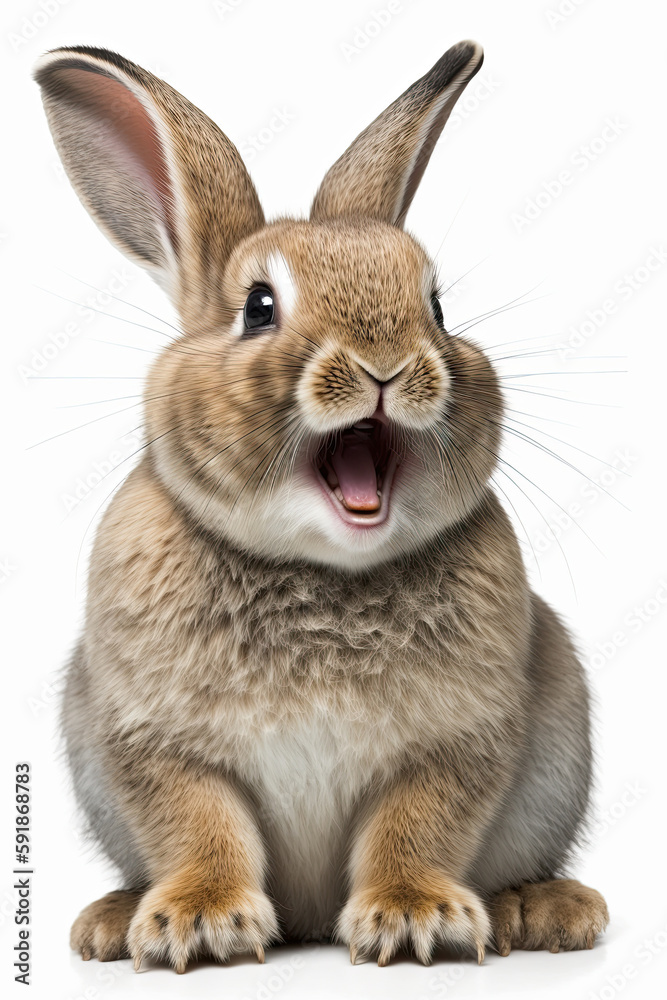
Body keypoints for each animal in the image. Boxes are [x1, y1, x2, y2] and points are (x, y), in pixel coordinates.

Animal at [34, 41, 609, 972]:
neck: (321, 569)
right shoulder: (157, 747)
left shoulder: (453, 747)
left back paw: (545, 910)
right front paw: (199, 923)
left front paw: (415, 919)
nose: (385, 363)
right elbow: (200, 827)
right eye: (258, 308)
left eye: (436, 306)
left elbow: (414, 829)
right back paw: (112, 922)